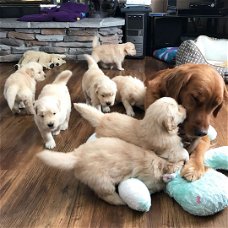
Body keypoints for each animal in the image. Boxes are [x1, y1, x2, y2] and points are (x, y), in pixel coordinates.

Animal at [36, 136, 184, 206]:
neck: (160, 163)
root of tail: (76, 156)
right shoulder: (150, 181)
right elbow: (153, 187)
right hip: (103, 182)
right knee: (106, 196)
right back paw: (120, 201)